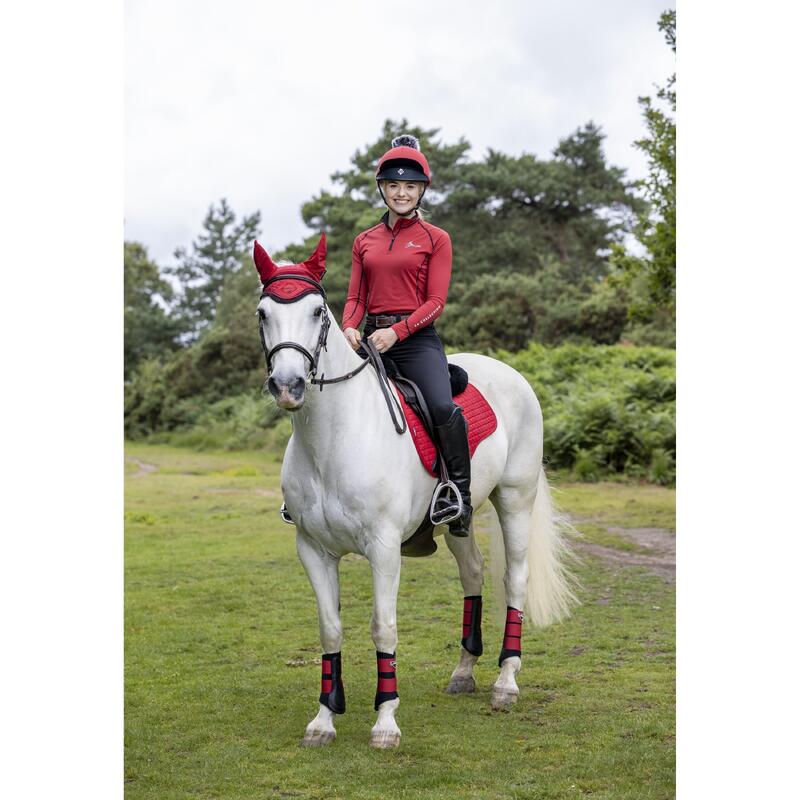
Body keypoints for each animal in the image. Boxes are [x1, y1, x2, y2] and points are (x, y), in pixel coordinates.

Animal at [256, 238, 576, 752]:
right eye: (264, 313)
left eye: (317, 312)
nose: (289, 385)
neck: (333, 438)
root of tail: (511, 374)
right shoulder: (313, 549)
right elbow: (329, 628)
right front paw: (324, 719)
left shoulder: (384, 548)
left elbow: (383, 625)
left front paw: (386, 722)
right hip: (460, 520)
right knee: (473, 573)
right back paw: (464, 671)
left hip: (515, 499)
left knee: (516, 579)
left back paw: (506, 682)